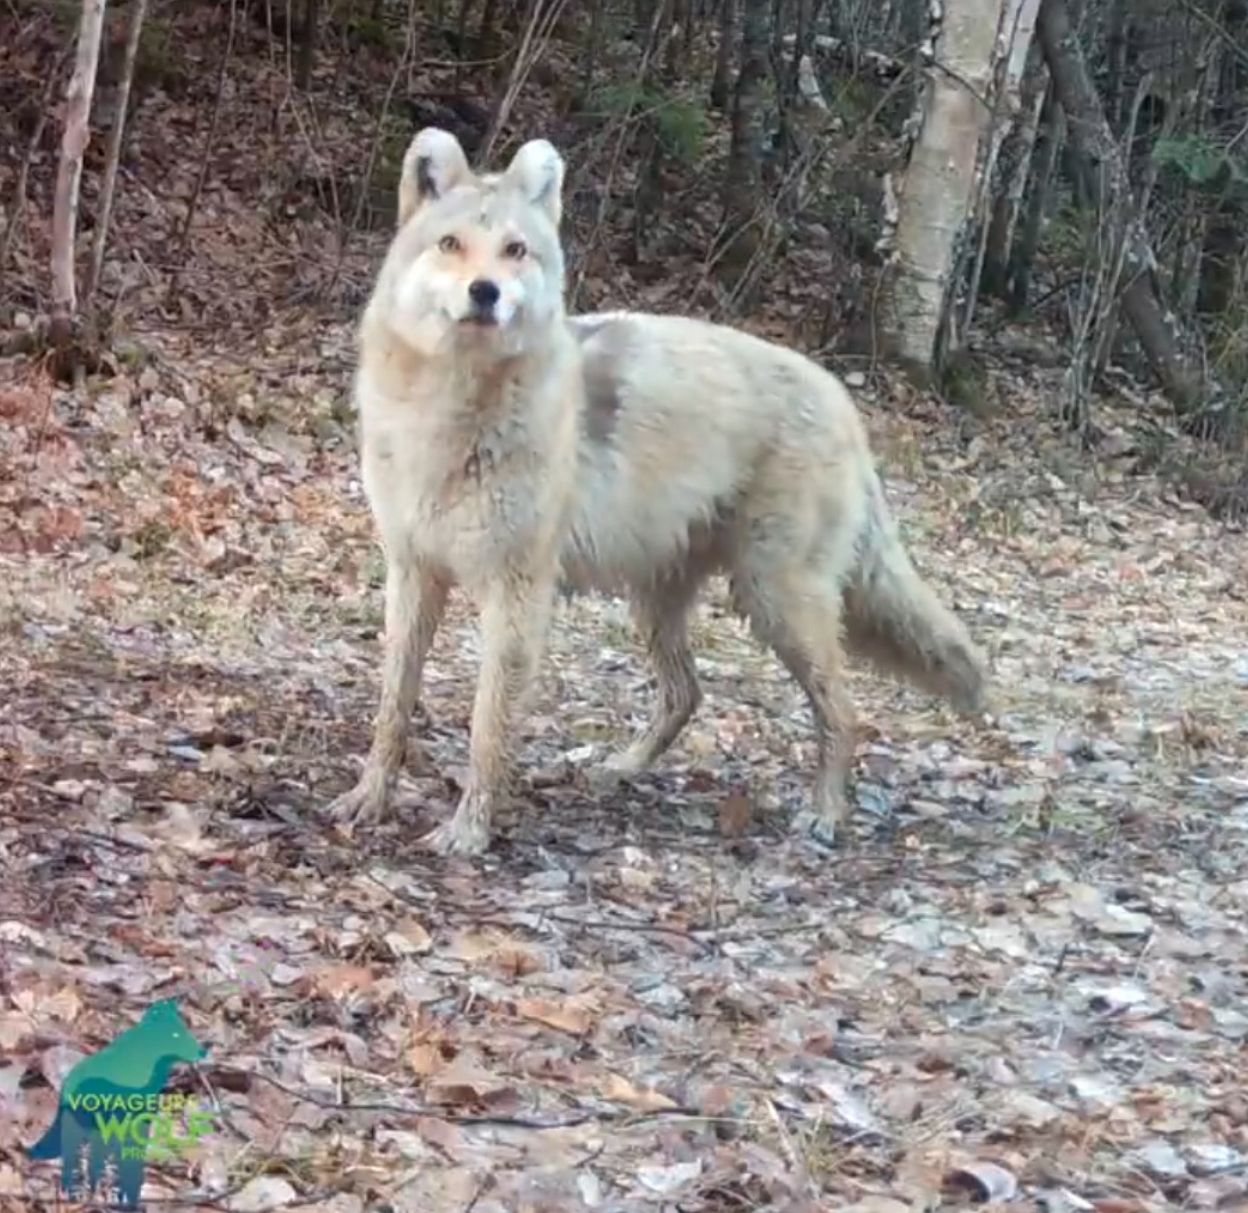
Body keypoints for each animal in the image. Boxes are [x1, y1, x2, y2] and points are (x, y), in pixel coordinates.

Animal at [326, 126, 987, 856]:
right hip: (661, 602)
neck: (449, 412)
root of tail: (844, 402)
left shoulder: (517, 595)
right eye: (451, 244)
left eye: (515, 250)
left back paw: (825, 816)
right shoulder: (412, 574)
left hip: (774, 602)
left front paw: (469, 831)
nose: (486, 292)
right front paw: (368, 798)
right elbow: (393, 706)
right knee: (688, 694)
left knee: (845, 711)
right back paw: (619, 769)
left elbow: (486, 726)